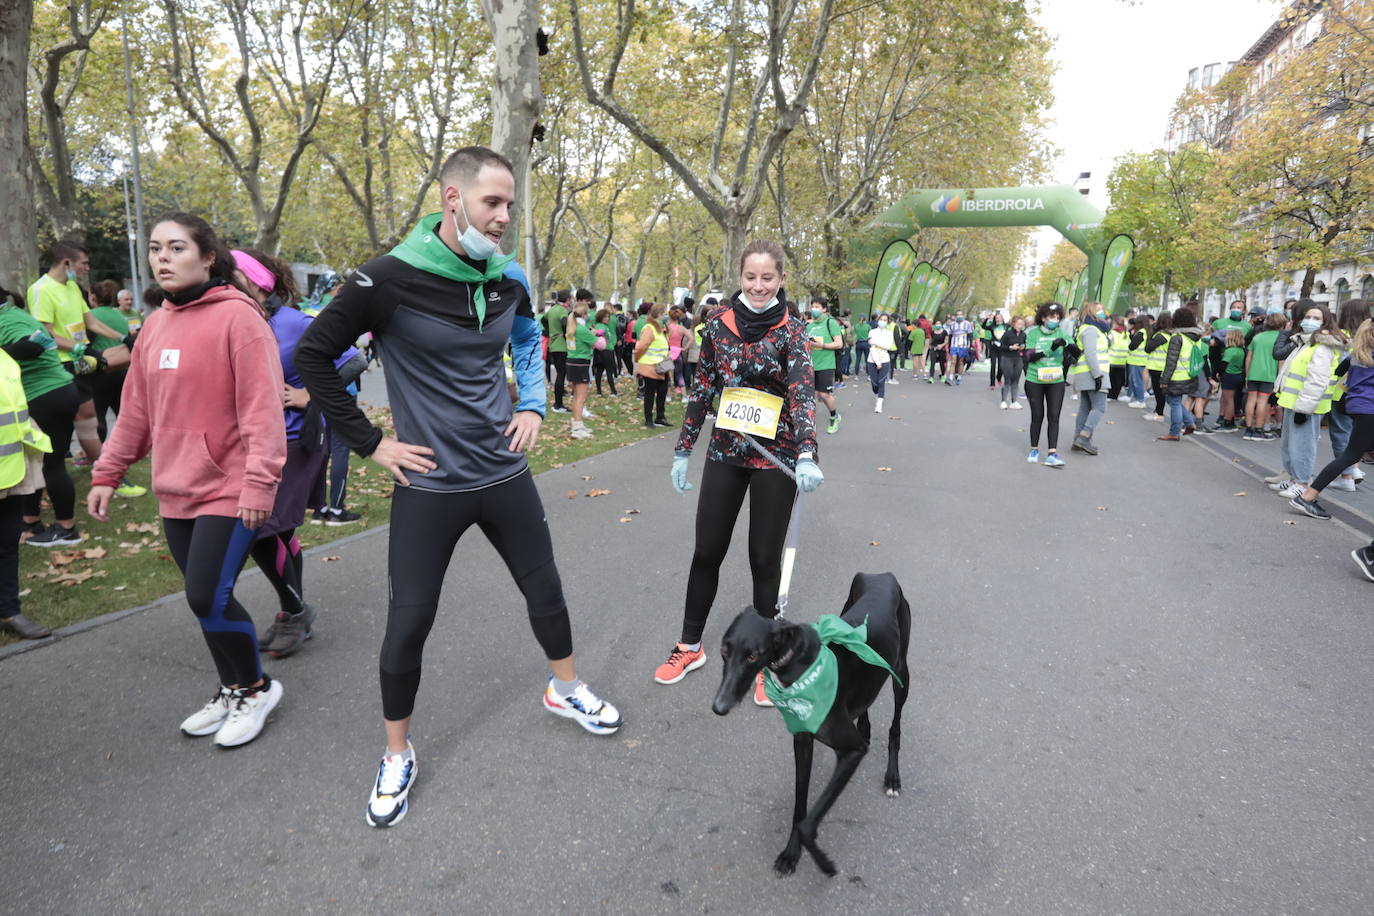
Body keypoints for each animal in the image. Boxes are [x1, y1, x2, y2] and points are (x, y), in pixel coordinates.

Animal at [708, 568, 912, 878]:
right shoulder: (802, 741)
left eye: (752, 655)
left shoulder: (851, 752)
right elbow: (799, 807)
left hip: (901, 673)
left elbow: (807, 824)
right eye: (723, 651)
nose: (719, 707)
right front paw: (791, 853)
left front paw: (823, 863)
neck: (800, 663)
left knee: (895, 727)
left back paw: (892, 777)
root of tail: (881, 574)